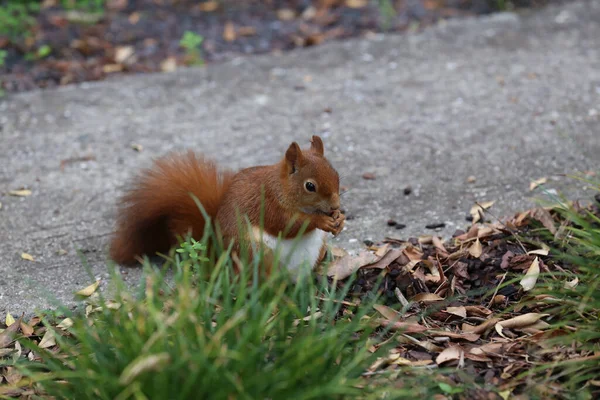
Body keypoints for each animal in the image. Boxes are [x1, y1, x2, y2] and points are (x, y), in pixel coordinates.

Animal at [109, 136, 344, 274]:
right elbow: (286, 226)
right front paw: (320, 220)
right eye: (310, 186)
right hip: (254, 251)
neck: (282, 188)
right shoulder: (267, 204)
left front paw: (340, 220)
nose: (335, 205)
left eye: (336, 174)